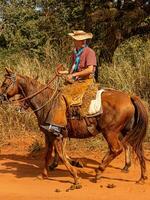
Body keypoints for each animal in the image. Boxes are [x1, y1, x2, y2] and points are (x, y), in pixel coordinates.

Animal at [0, 69, 148, 188]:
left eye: (5, 84)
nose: (1, 97)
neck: (46, 102)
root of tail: (129, 97)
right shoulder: (49, 134)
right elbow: (48, 154)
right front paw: (43, 174)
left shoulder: (55, 134)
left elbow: (60, 154)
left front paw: (75, 176)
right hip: (126, 131)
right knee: (138, 151)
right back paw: (141, 178)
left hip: (110, 132)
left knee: (117, 149)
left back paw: (99, 171)